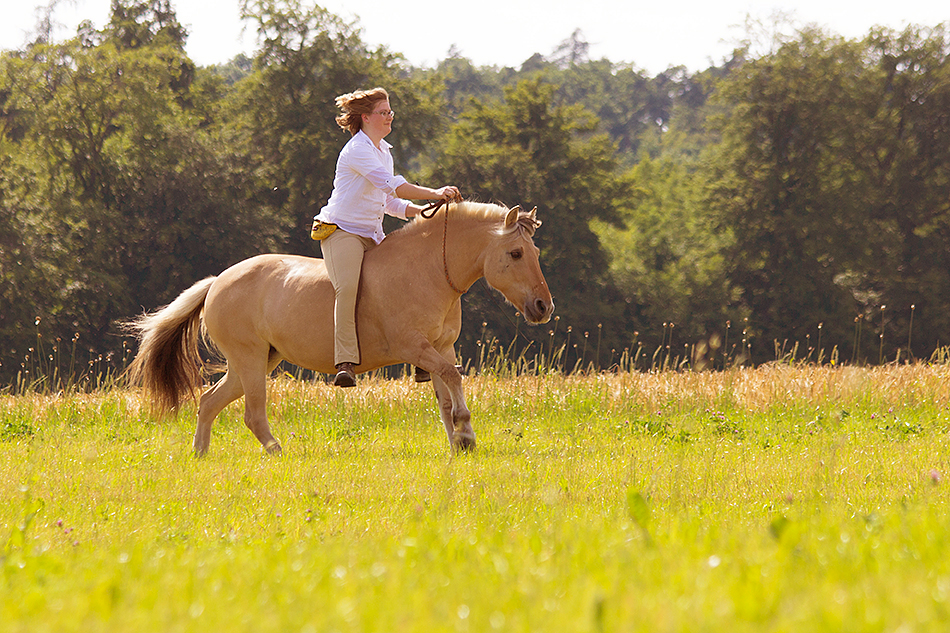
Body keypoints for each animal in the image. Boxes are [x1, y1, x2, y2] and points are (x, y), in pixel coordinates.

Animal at [126, 202, 556, 454]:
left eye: (535, 251)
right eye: (515, 253)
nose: (543, 307)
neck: (430, 270)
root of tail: (217, 282)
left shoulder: (441, 347)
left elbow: (446, 394)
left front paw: (459, 443)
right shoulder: (416, 348)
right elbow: (452, 378)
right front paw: (465, 434)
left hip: (257, 362)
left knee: (209, 402)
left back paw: (200, 454)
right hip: (249, 360)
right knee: (252, 413)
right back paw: (276, 451)